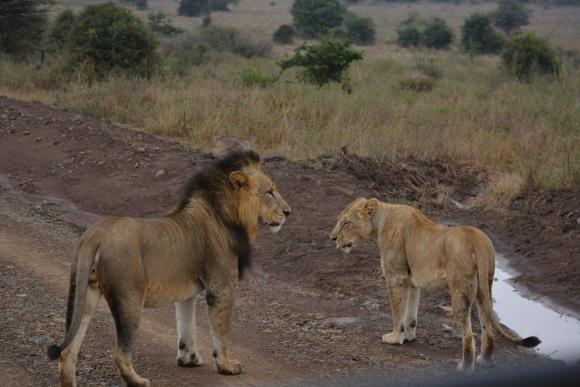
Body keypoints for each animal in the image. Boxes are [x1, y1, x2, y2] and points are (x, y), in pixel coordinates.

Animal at [47, 152, 290, 387]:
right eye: (270, 192)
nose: (288, 212)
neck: (225, 212)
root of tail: (96, 233)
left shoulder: (187, 293)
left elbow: (187, 325)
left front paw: (189, 359)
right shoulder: (221, 287)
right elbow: (221, 331)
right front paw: (227, 366)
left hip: (84, 291)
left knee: (68, 351)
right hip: (129, 297)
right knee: (120, 354)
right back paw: (139, 381)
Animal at [330, 199, 544, 374]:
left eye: (346, 223)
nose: (332, 238)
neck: (381, 220)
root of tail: (476, 238)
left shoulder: (396, 278)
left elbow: (397, 311)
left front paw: (394, 337)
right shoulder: (412, 282)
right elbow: (411, 313)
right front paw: (409, 336)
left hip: (460, 289)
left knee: (469, 336)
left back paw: (464, 368)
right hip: (484, 287)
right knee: (488, 331)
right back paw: (484, 361)